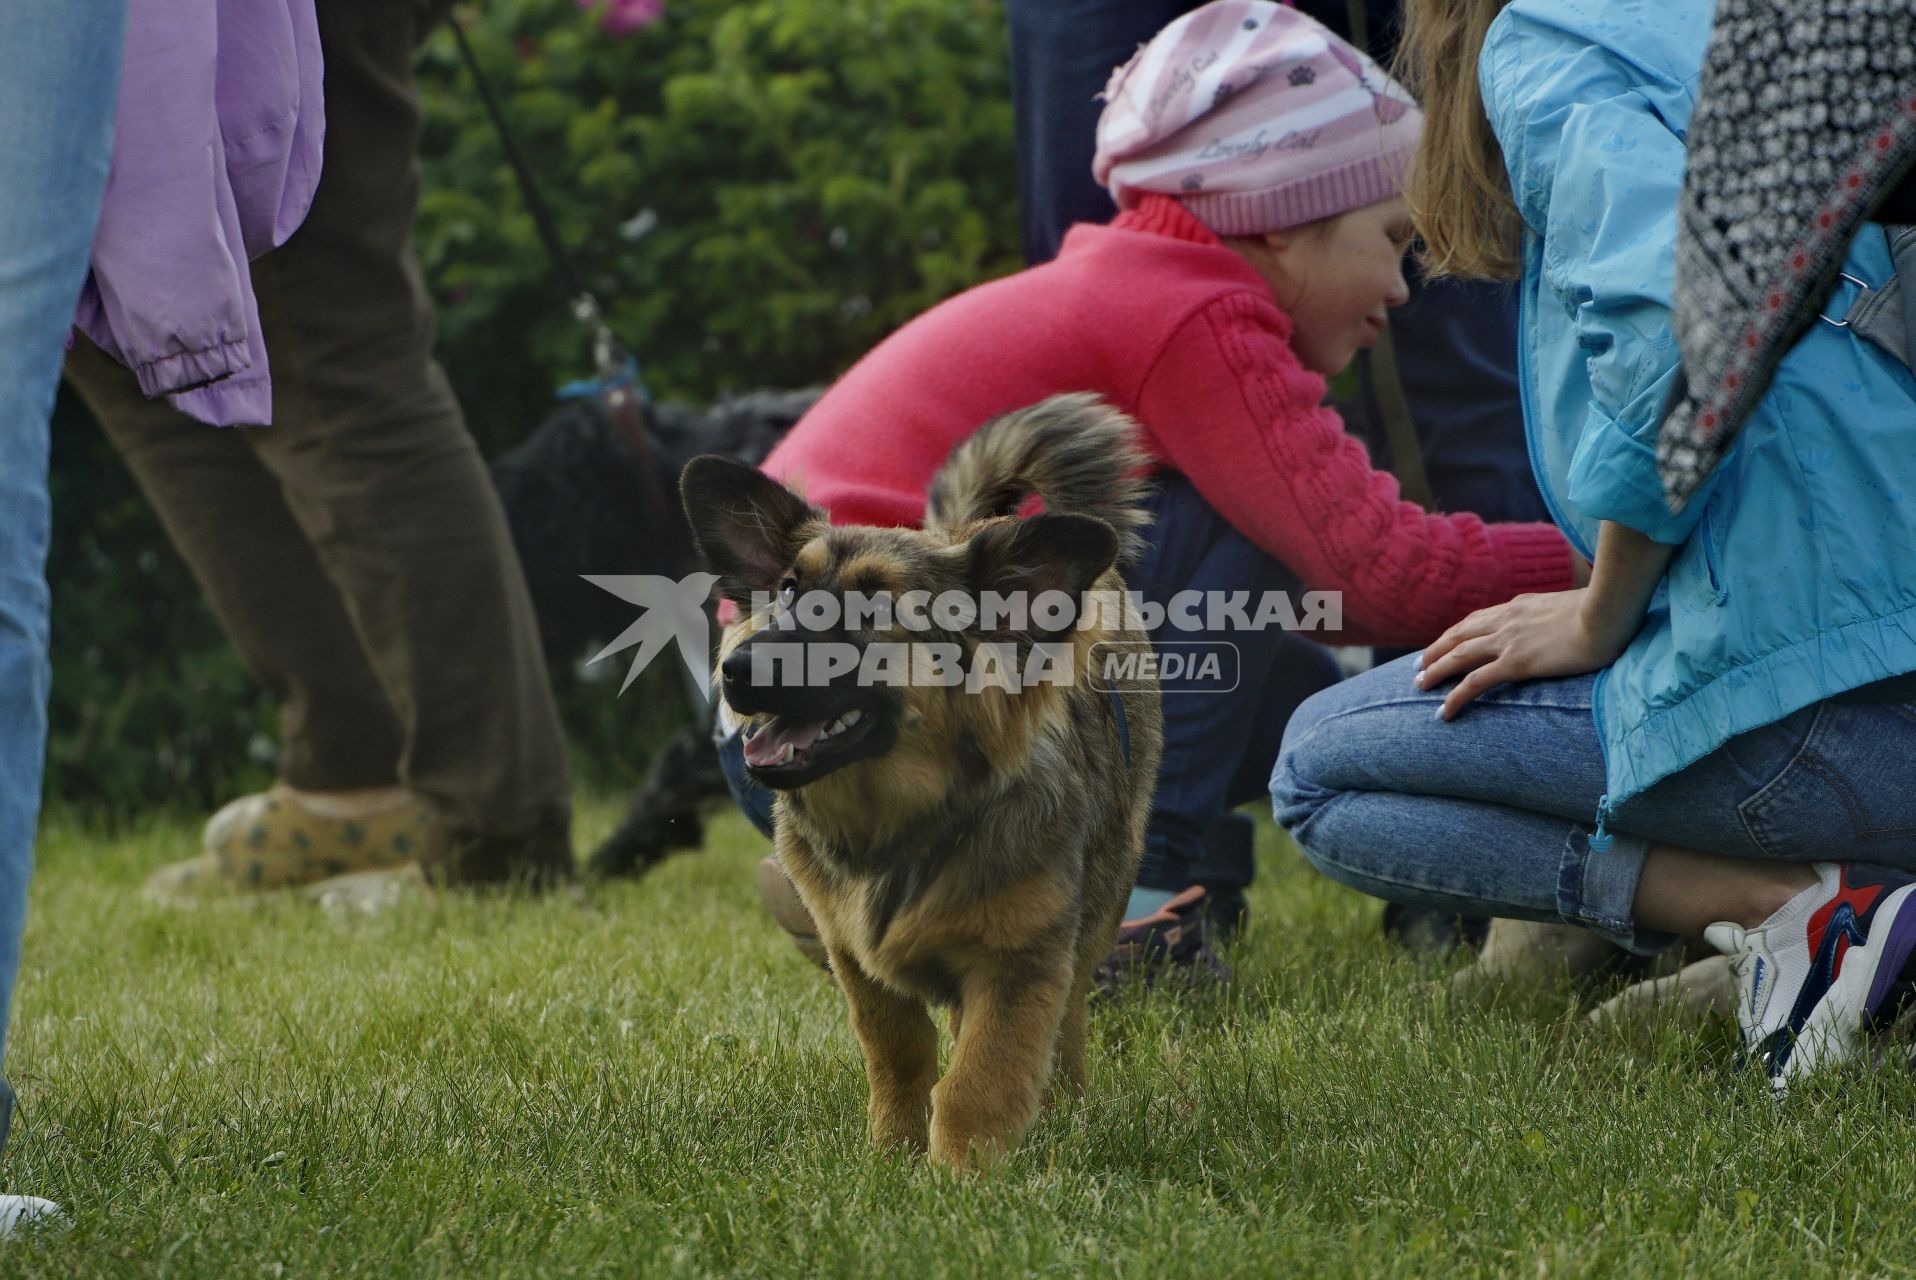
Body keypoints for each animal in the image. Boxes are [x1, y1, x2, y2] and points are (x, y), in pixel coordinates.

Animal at [682, 396, 1157, 1172]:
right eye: (787, 590)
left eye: (877, 611)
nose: (737, 670)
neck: (902, 821)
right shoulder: (854, 957)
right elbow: (901, 1051)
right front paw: (894, 1153)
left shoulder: (1020, 961)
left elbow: (982, 1073)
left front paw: (961, 1174)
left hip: (1102, 898)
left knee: (1068, 1020)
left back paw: (1067, 1104)